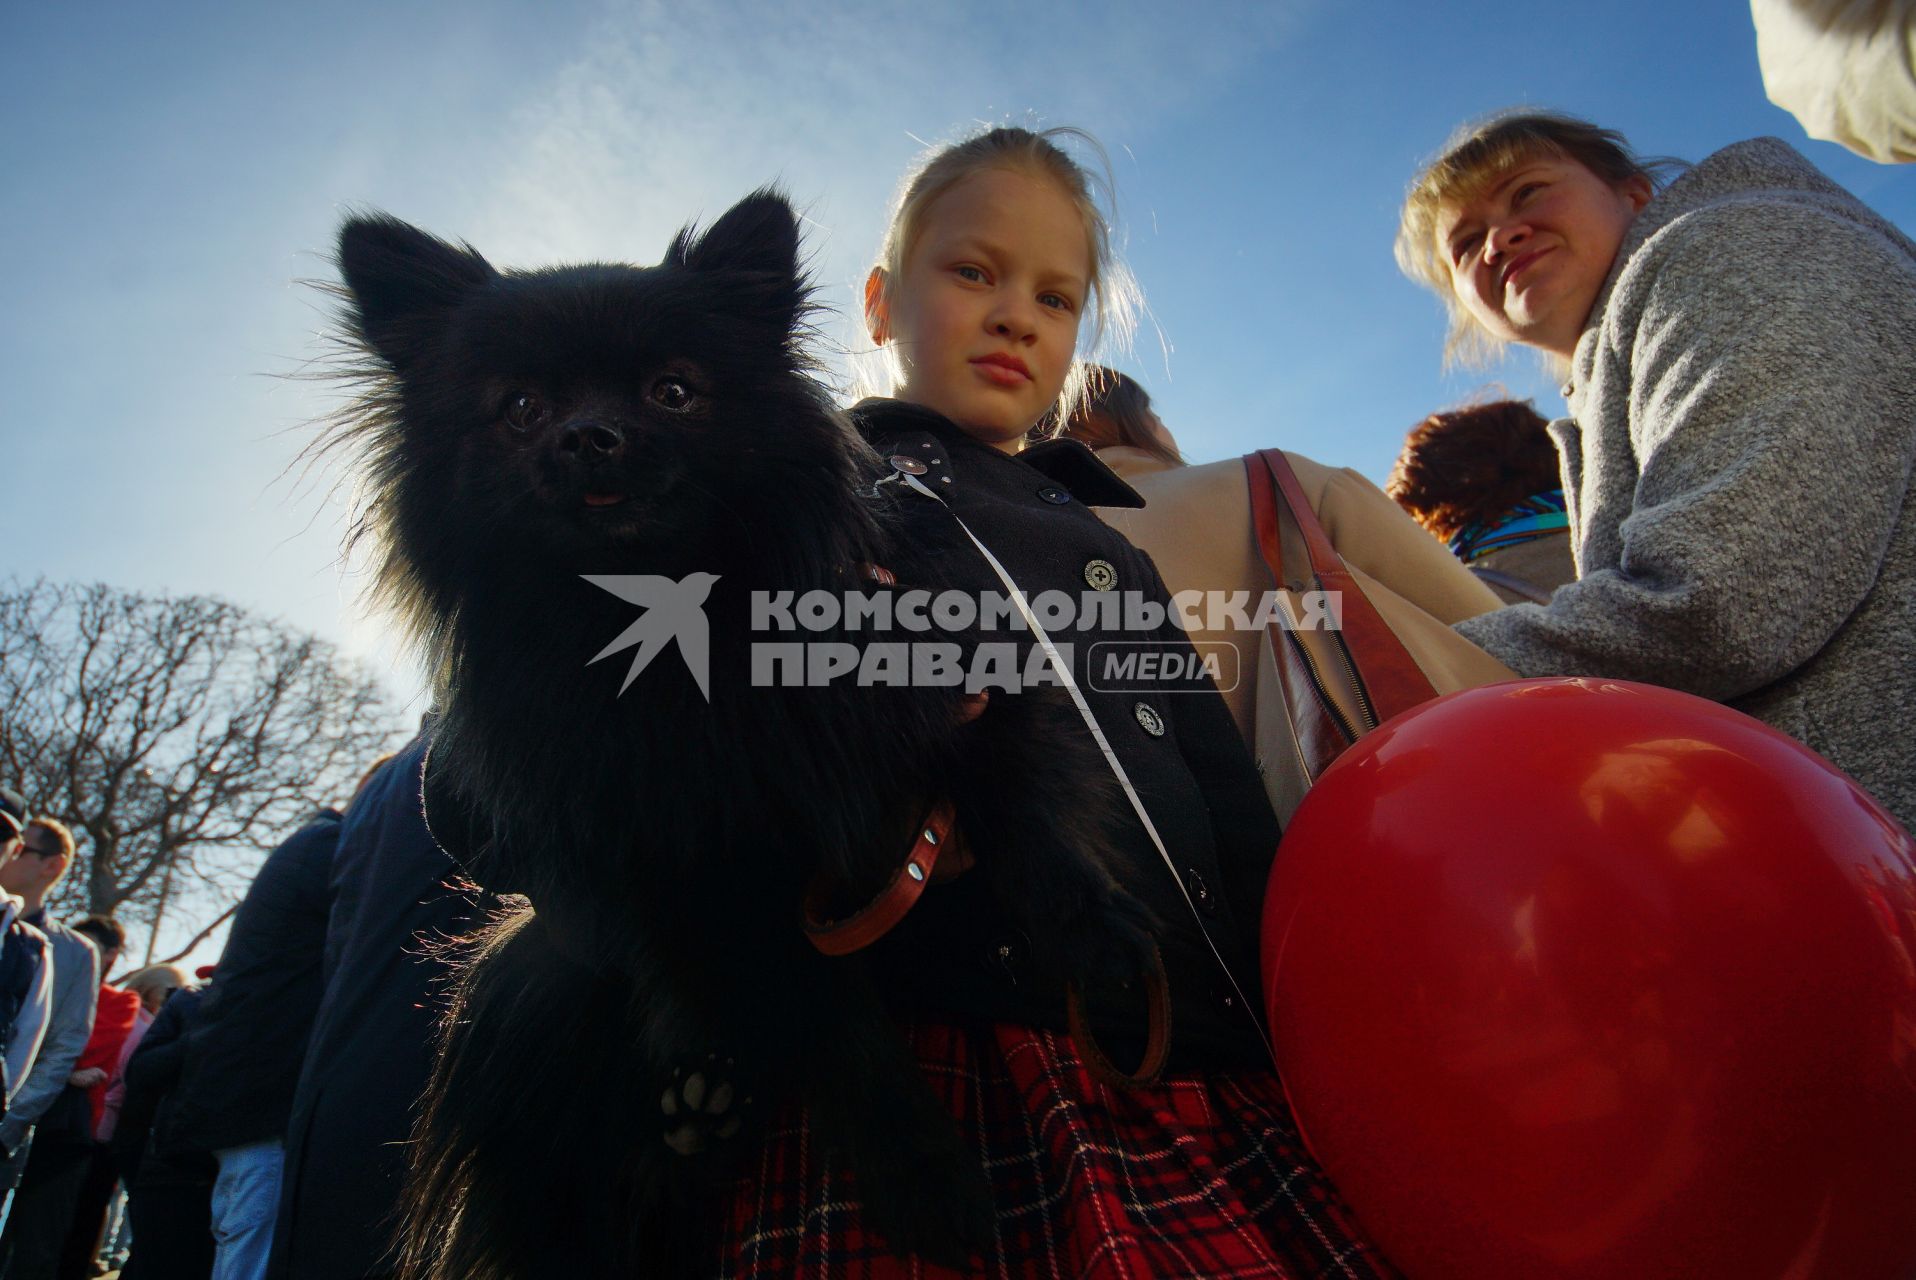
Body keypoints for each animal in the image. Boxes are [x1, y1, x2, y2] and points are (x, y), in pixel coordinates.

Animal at [323, 192, 1157, 1280]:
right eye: (520, 409)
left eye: (673, 391)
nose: (589, 435)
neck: (691, 623)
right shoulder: (708, 876)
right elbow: (833, 1026)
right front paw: (923, 1174)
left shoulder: (968, 691)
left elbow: (1028, 819)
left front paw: (1097, 942)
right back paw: (691, 1117)